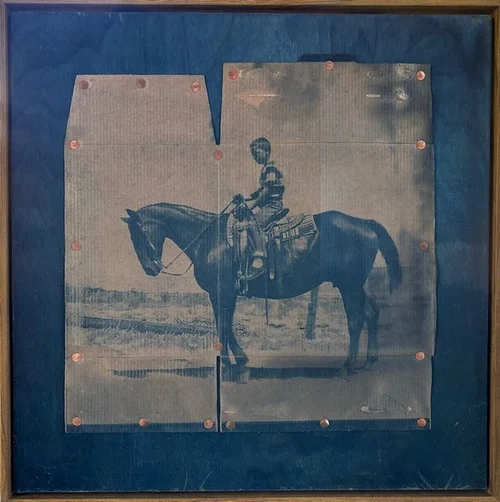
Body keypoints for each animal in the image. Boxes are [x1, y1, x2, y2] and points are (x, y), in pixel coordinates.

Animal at [122, 202, 402, 374]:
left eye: (139, 233)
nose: (151, 268)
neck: (209, 239)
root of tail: (364, 223)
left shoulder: (224, 292)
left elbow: (224, 326)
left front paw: (230, 364)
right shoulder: (220, 294)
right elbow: (225, 325)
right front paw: (240, 361)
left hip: (348, 285)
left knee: (355, 319)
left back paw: (347, 365)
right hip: (354, 285)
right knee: (372, 313)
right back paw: (369, 362)